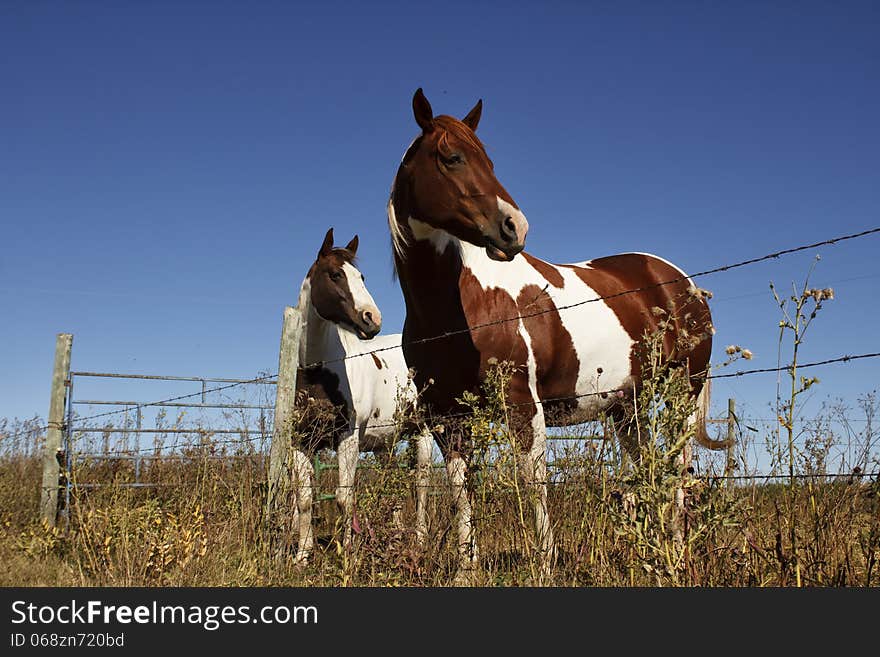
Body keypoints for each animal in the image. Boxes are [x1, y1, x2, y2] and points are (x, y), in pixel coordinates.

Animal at [288, 228, 434, 560]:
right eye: (335, 274)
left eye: (361, 276)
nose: (372, 318)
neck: (318, 371)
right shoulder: (302, 440)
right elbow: (304, 500)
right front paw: (302, 556)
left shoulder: (348, 438)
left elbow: (344, 499)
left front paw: (348, 555)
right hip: (384, 443)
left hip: (423, 432)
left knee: (420, 485)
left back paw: (420, 540)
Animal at [388, 88, 724, 580]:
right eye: (452, 158)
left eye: (489, 160)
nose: (515, 228)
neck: (460, 302)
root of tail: (684, 283)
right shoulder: (448, 418)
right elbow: (460, 489)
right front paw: (467, 569)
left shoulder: (522, 405)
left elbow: (533, 484)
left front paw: (543, 567)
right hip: (627, 408)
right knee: (649, 469)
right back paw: (652, 556)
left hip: (681, 392)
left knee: (678, 470)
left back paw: (677, 555)